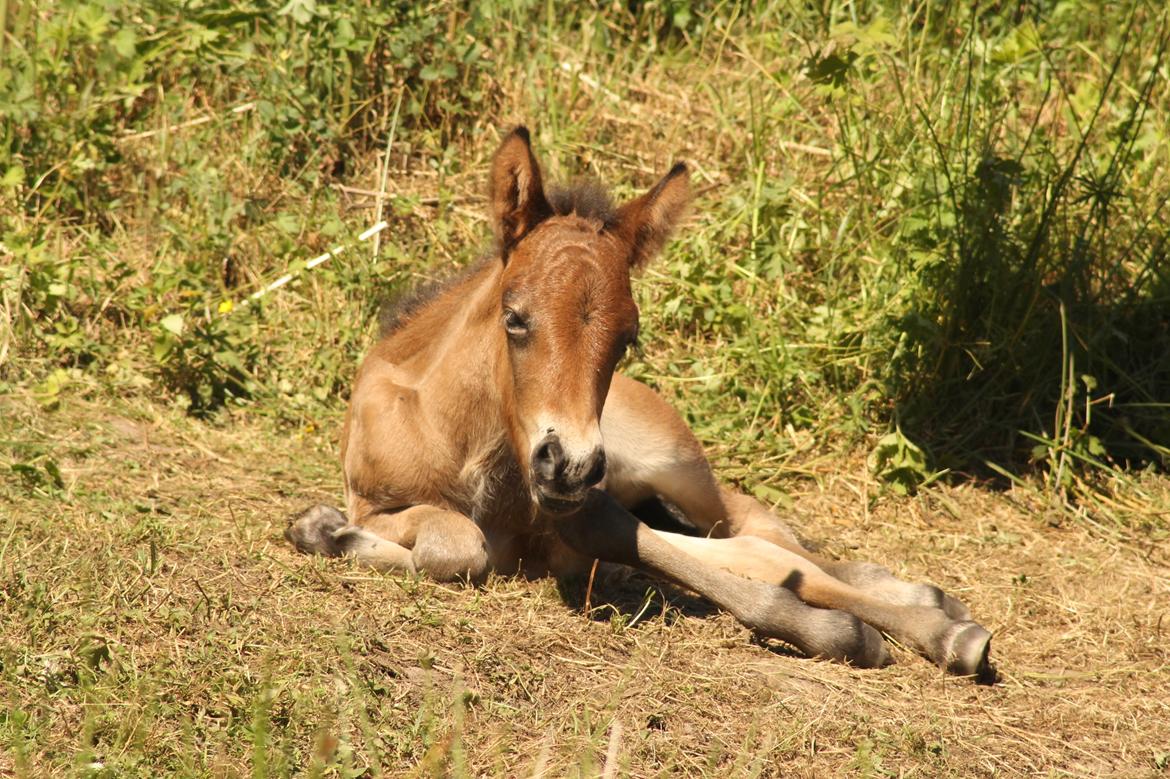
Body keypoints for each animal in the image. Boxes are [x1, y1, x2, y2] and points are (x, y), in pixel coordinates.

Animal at [287, 127, 992, 678]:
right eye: (515, 319)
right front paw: (326, 530)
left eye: (628, 336)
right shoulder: (376, 497)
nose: (569, 465)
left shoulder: (579, 512)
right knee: (757, 548)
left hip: (677, 470)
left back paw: (937, 617)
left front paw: (854, 633)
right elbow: (455, 545)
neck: (456, 434)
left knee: (760, 536)